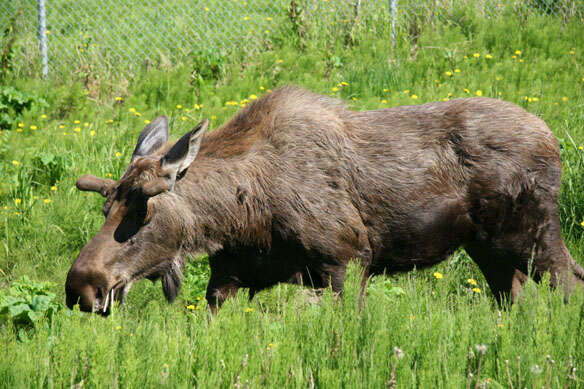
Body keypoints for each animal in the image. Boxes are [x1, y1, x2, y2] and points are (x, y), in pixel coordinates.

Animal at [65, 86, 584, 314]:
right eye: (107, 206)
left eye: (142, 211)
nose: (82, 286)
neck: (238, 215)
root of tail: (553, 139)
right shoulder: (230, 273)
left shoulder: (346, 259)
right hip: (489, 248)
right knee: (512, 296)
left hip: (533, 236)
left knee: (569, 282)